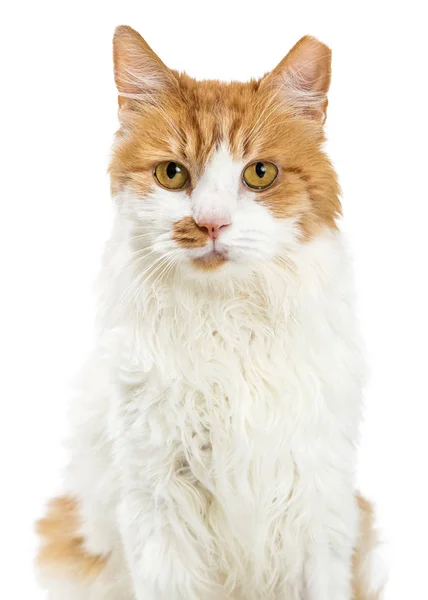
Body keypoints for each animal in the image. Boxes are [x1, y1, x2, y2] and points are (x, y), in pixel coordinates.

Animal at [36, 24, 384, 600]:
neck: (227, 326)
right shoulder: (158, 503)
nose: (211, 224)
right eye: (172, 174)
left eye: (260, 173)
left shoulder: (318, 500)